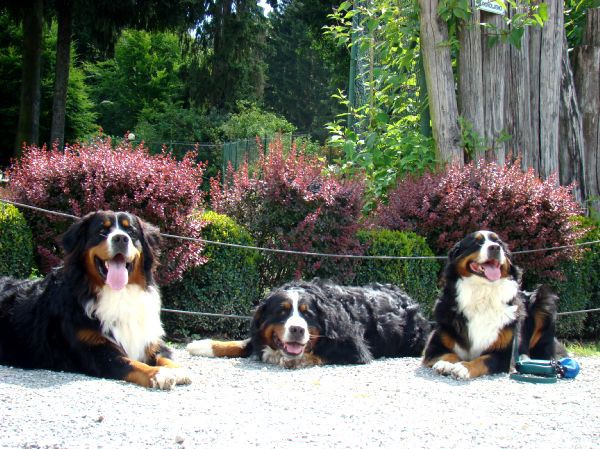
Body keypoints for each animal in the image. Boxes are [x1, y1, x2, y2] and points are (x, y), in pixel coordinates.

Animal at [188, 278, 432, 370]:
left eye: (308, 314)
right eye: (282, 311)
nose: (297, 329)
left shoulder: (355, 349)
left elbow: (317, 354)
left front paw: (292, 360)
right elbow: (240, 343)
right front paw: (202, 345)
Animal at [422, 231, 564, 378]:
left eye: (499, 243)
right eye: (477, 243)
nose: (495, 247)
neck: (483, 293)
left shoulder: (504, 355)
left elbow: (482, 360)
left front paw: (464, 367)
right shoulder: (434, 346)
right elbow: (448, 355)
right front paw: (446, 364)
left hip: (544, 298)